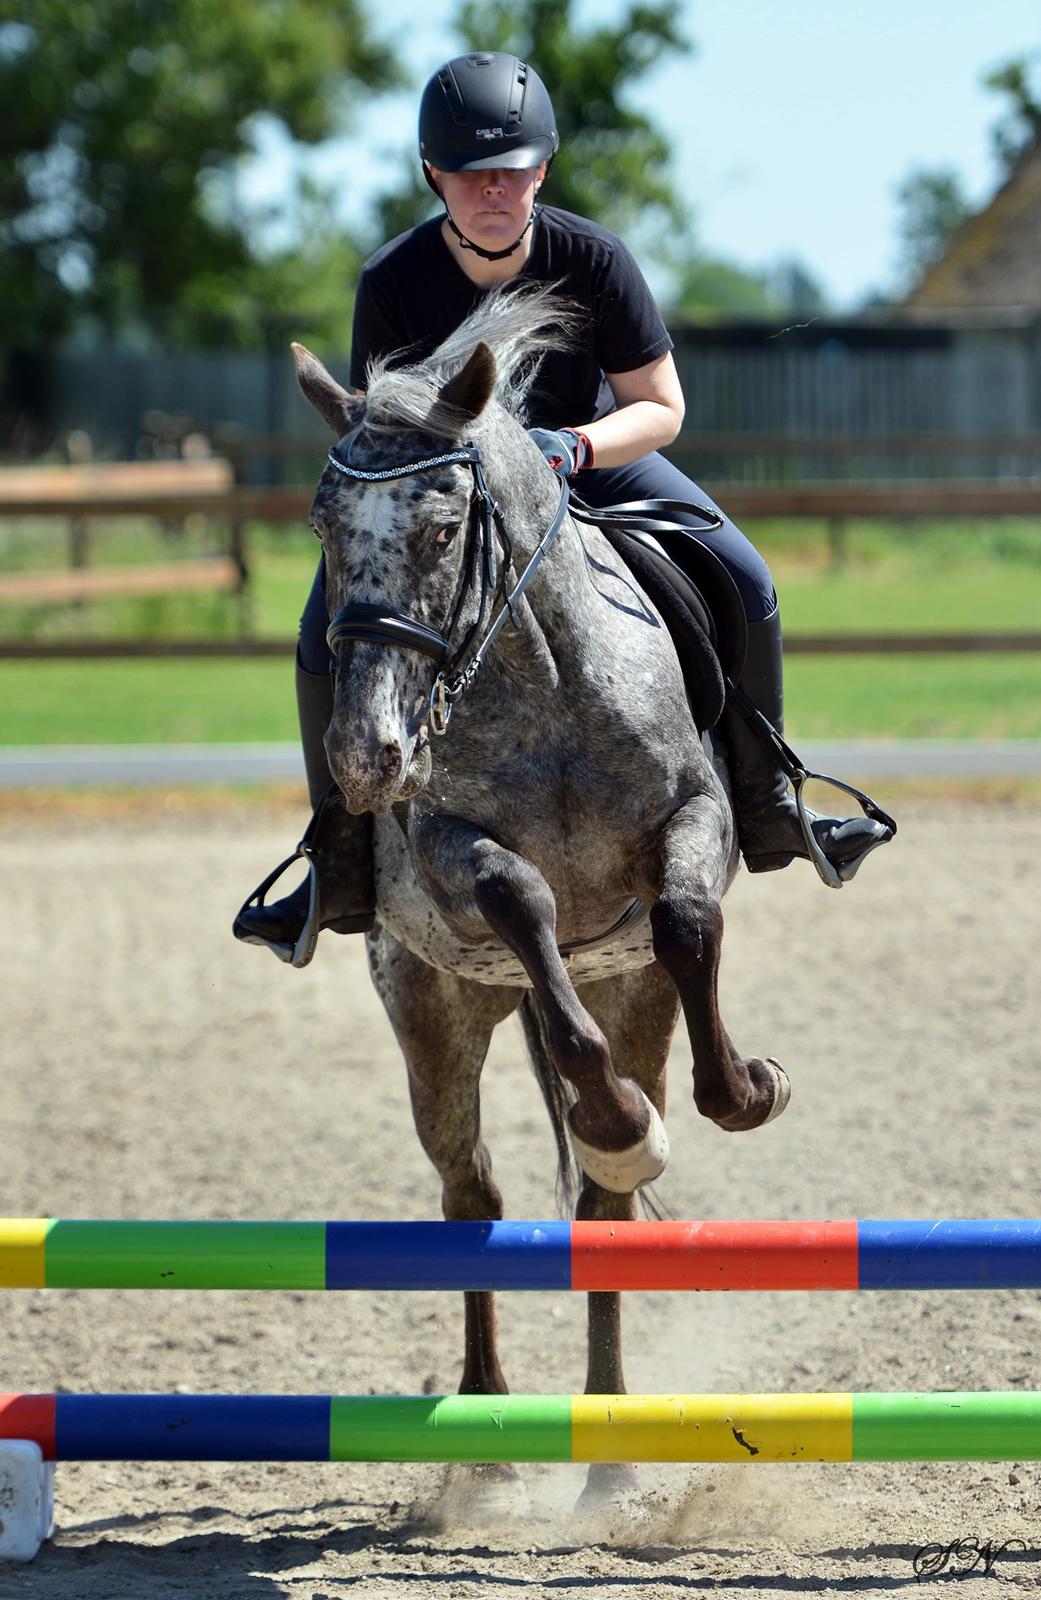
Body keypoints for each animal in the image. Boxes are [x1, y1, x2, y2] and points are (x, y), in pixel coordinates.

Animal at [292, 291, 799, 1510]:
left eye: (442, 531)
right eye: (324, 532)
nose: (367, 758)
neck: (542, 676)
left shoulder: (693, 823)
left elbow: (688, 922)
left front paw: (742, 1092)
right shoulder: (445, 850)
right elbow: (518, 897)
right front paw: (615, 1119)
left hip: (633, 995)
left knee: (601, 1210)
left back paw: (610, 1451)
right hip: (430, 1008)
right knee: (469, 1195)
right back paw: (484, 1450)